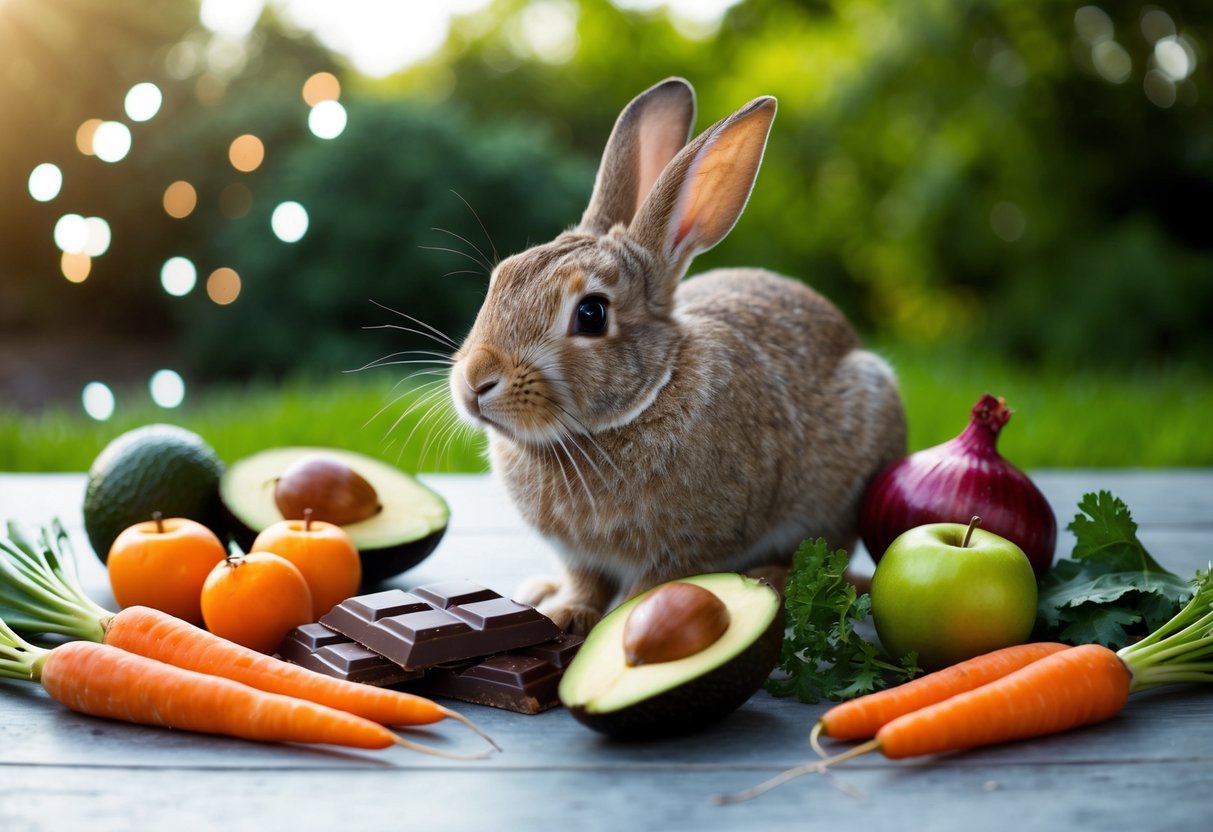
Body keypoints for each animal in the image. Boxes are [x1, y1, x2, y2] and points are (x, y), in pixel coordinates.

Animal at [448, 78, 907, 634]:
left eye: (592, 314)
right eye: (502, 277)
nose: (475, 381)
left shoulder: (690, 546)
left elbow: (650, 587)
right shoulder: (581, 557)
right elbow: (585, 581)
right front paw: (563, 610)